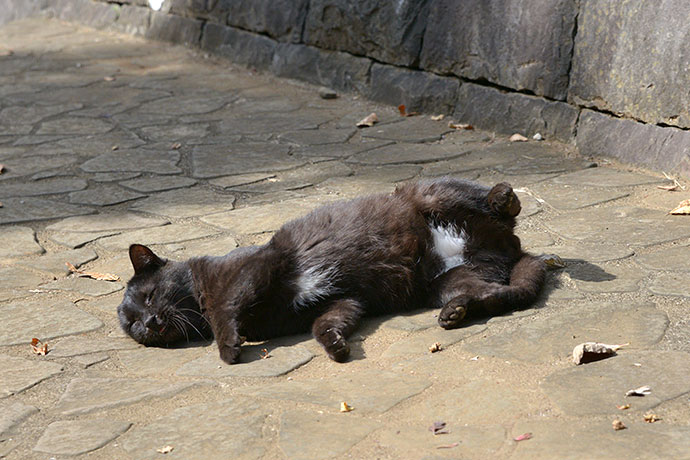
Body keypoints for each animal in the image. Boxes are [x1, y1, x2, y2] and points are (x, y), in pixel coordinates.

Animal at [117, 179, 544, 362]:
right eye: (132, 325)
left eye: (149, 296)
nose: (149, 322)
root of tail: (511, 246)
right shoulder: (341, 300)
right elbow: (324, 324)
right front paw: (336, 345)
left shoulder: (260, 265)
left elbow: (226, 308)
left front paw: (228, 348)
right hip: (446, 281)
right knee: (501, 294)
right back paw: (456, 312)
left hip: (429, 193)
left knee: (493, 201)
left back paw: (504, 196)